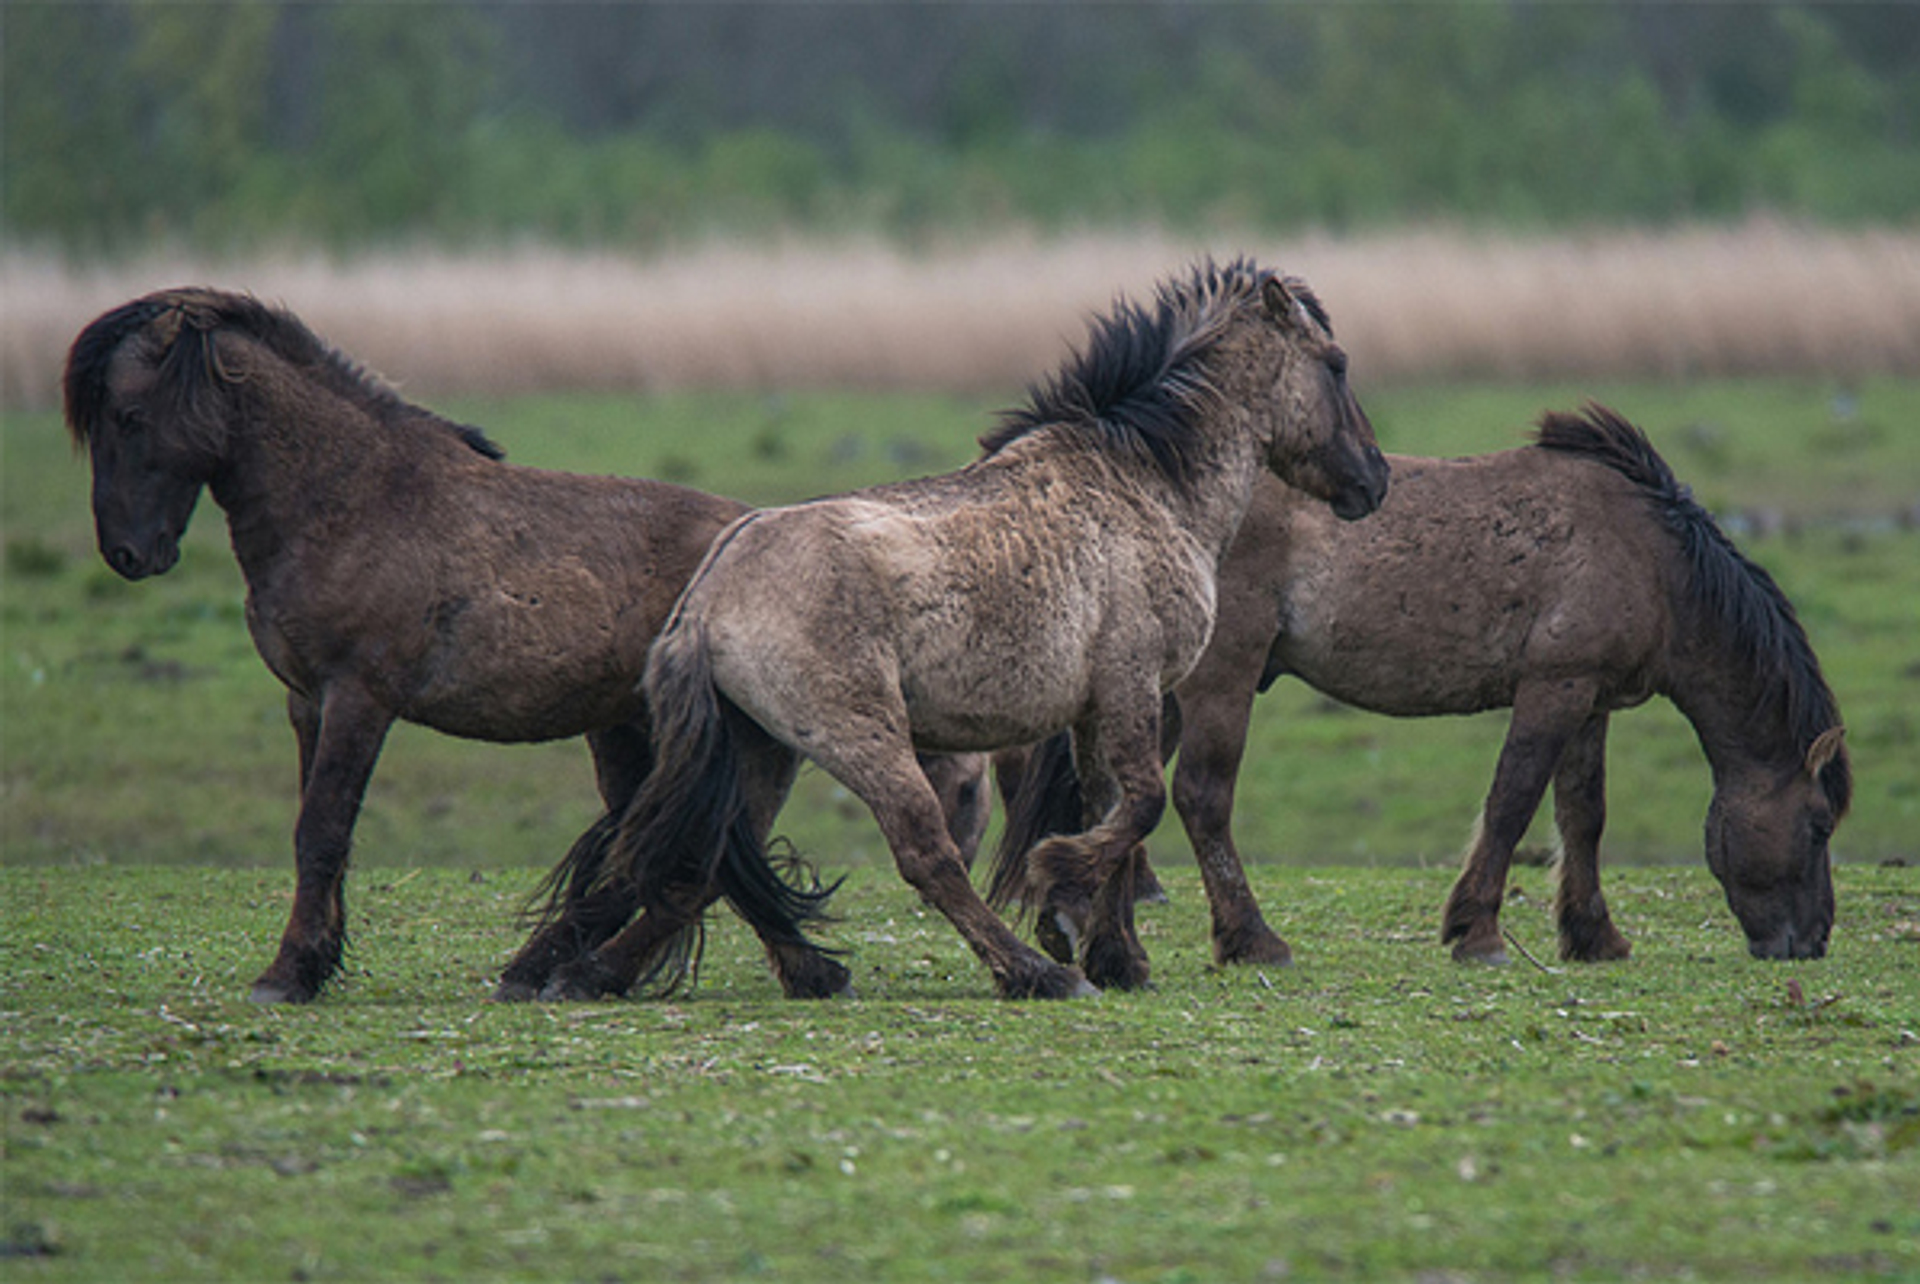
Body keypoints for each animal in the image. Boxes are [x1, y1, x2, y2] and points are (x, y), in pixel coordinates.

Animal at [63, 289, 990, 998]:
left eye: (130, 415)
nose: (129, 553)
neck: (351, 500)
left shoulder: (359, 698)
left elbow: (322, 831)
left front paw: (287, 975)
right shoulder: (305, 703)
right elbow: (314, 829)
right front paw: (314, 961)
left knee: (696, 849)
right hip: (637, 731)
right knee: (684, 846)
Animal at [533, 257, 1390, 998]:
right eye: (1337, 364)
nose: (1374, 481)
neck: (1144, 486)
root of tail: (709, 595)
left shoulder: (1098, 709)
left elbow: (1113, 813)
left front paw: (1116, 955)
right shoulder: (1133, 687)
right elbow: (1137, 808)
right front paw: (1059, 889)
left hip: (761, 746)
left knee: (699, 861)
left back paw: (588, 974)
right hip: (865, 740)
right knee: (925, 857)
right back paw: (1032, 973)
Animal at [990, 404, 1843, 967]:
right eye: (1819, 825)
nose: (1811, 942)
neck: (1651, 559)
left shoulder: (1591, 701)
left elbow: (1583, 815)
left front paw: (1593, 936)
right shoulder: (1554, 688)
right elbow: (1512, 801)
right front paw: (1479, 933)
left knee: (1110, 800)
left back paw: (1089, 929)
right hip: (1219, 680)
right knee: (1202, 798)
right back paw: (1250, 940)